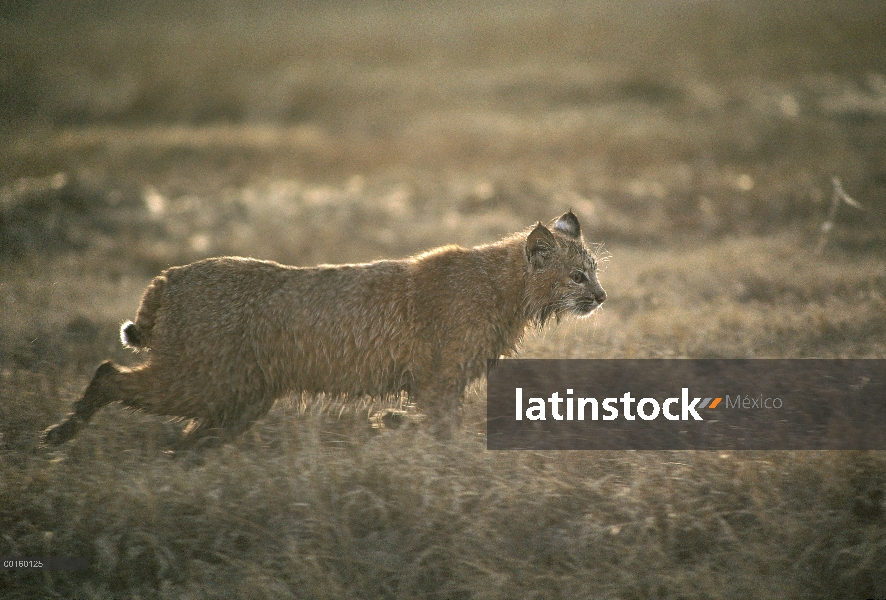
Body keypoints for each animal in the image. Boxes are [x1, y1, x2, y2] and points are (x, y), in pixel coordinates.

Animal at [45, 213, 608, 448]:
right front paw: (426, 443)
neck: (508, 287)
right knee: (108, 371)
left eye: (594, 270)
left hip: (239, 399)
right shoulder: (438, 379)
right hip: (199, 379)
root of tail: (173, 273)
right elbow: (445, 428)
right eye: (578, 276)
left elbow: (435, 423)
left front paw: (394, 424)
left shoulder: (439, 383)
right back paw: (61, 431)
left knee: (187, 442)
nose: (602, 297)